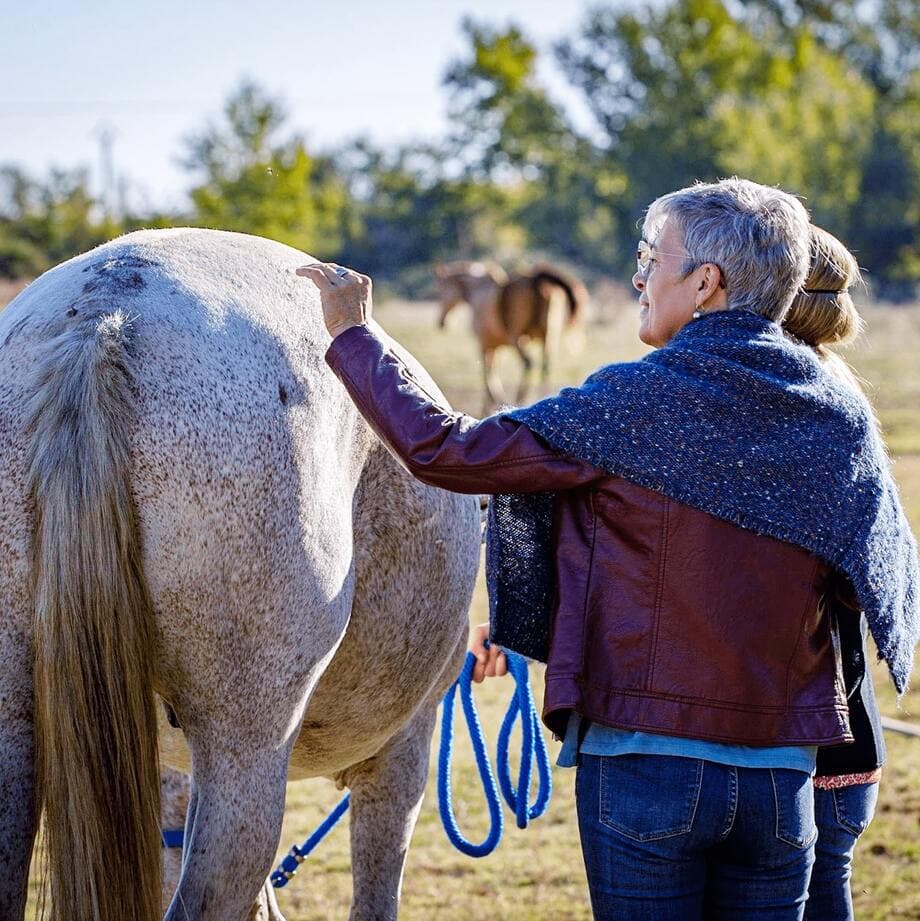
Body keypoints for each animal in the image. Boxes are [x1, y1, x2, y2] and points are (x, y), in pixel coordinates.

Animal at [434, 260, 584, 408]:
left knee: (528, 363)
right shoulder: (497, 347)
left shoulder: (484, 344)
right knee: (545, 367)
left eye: (441, 291)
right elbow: (492, 369)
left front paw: (495, 399)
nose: (442, 322)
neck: (478, 290)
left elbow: (487, 371)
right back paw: (543, 396)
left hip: (516, 338)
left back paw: (520, 399)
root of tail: (535, 278)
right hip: (547, 336)